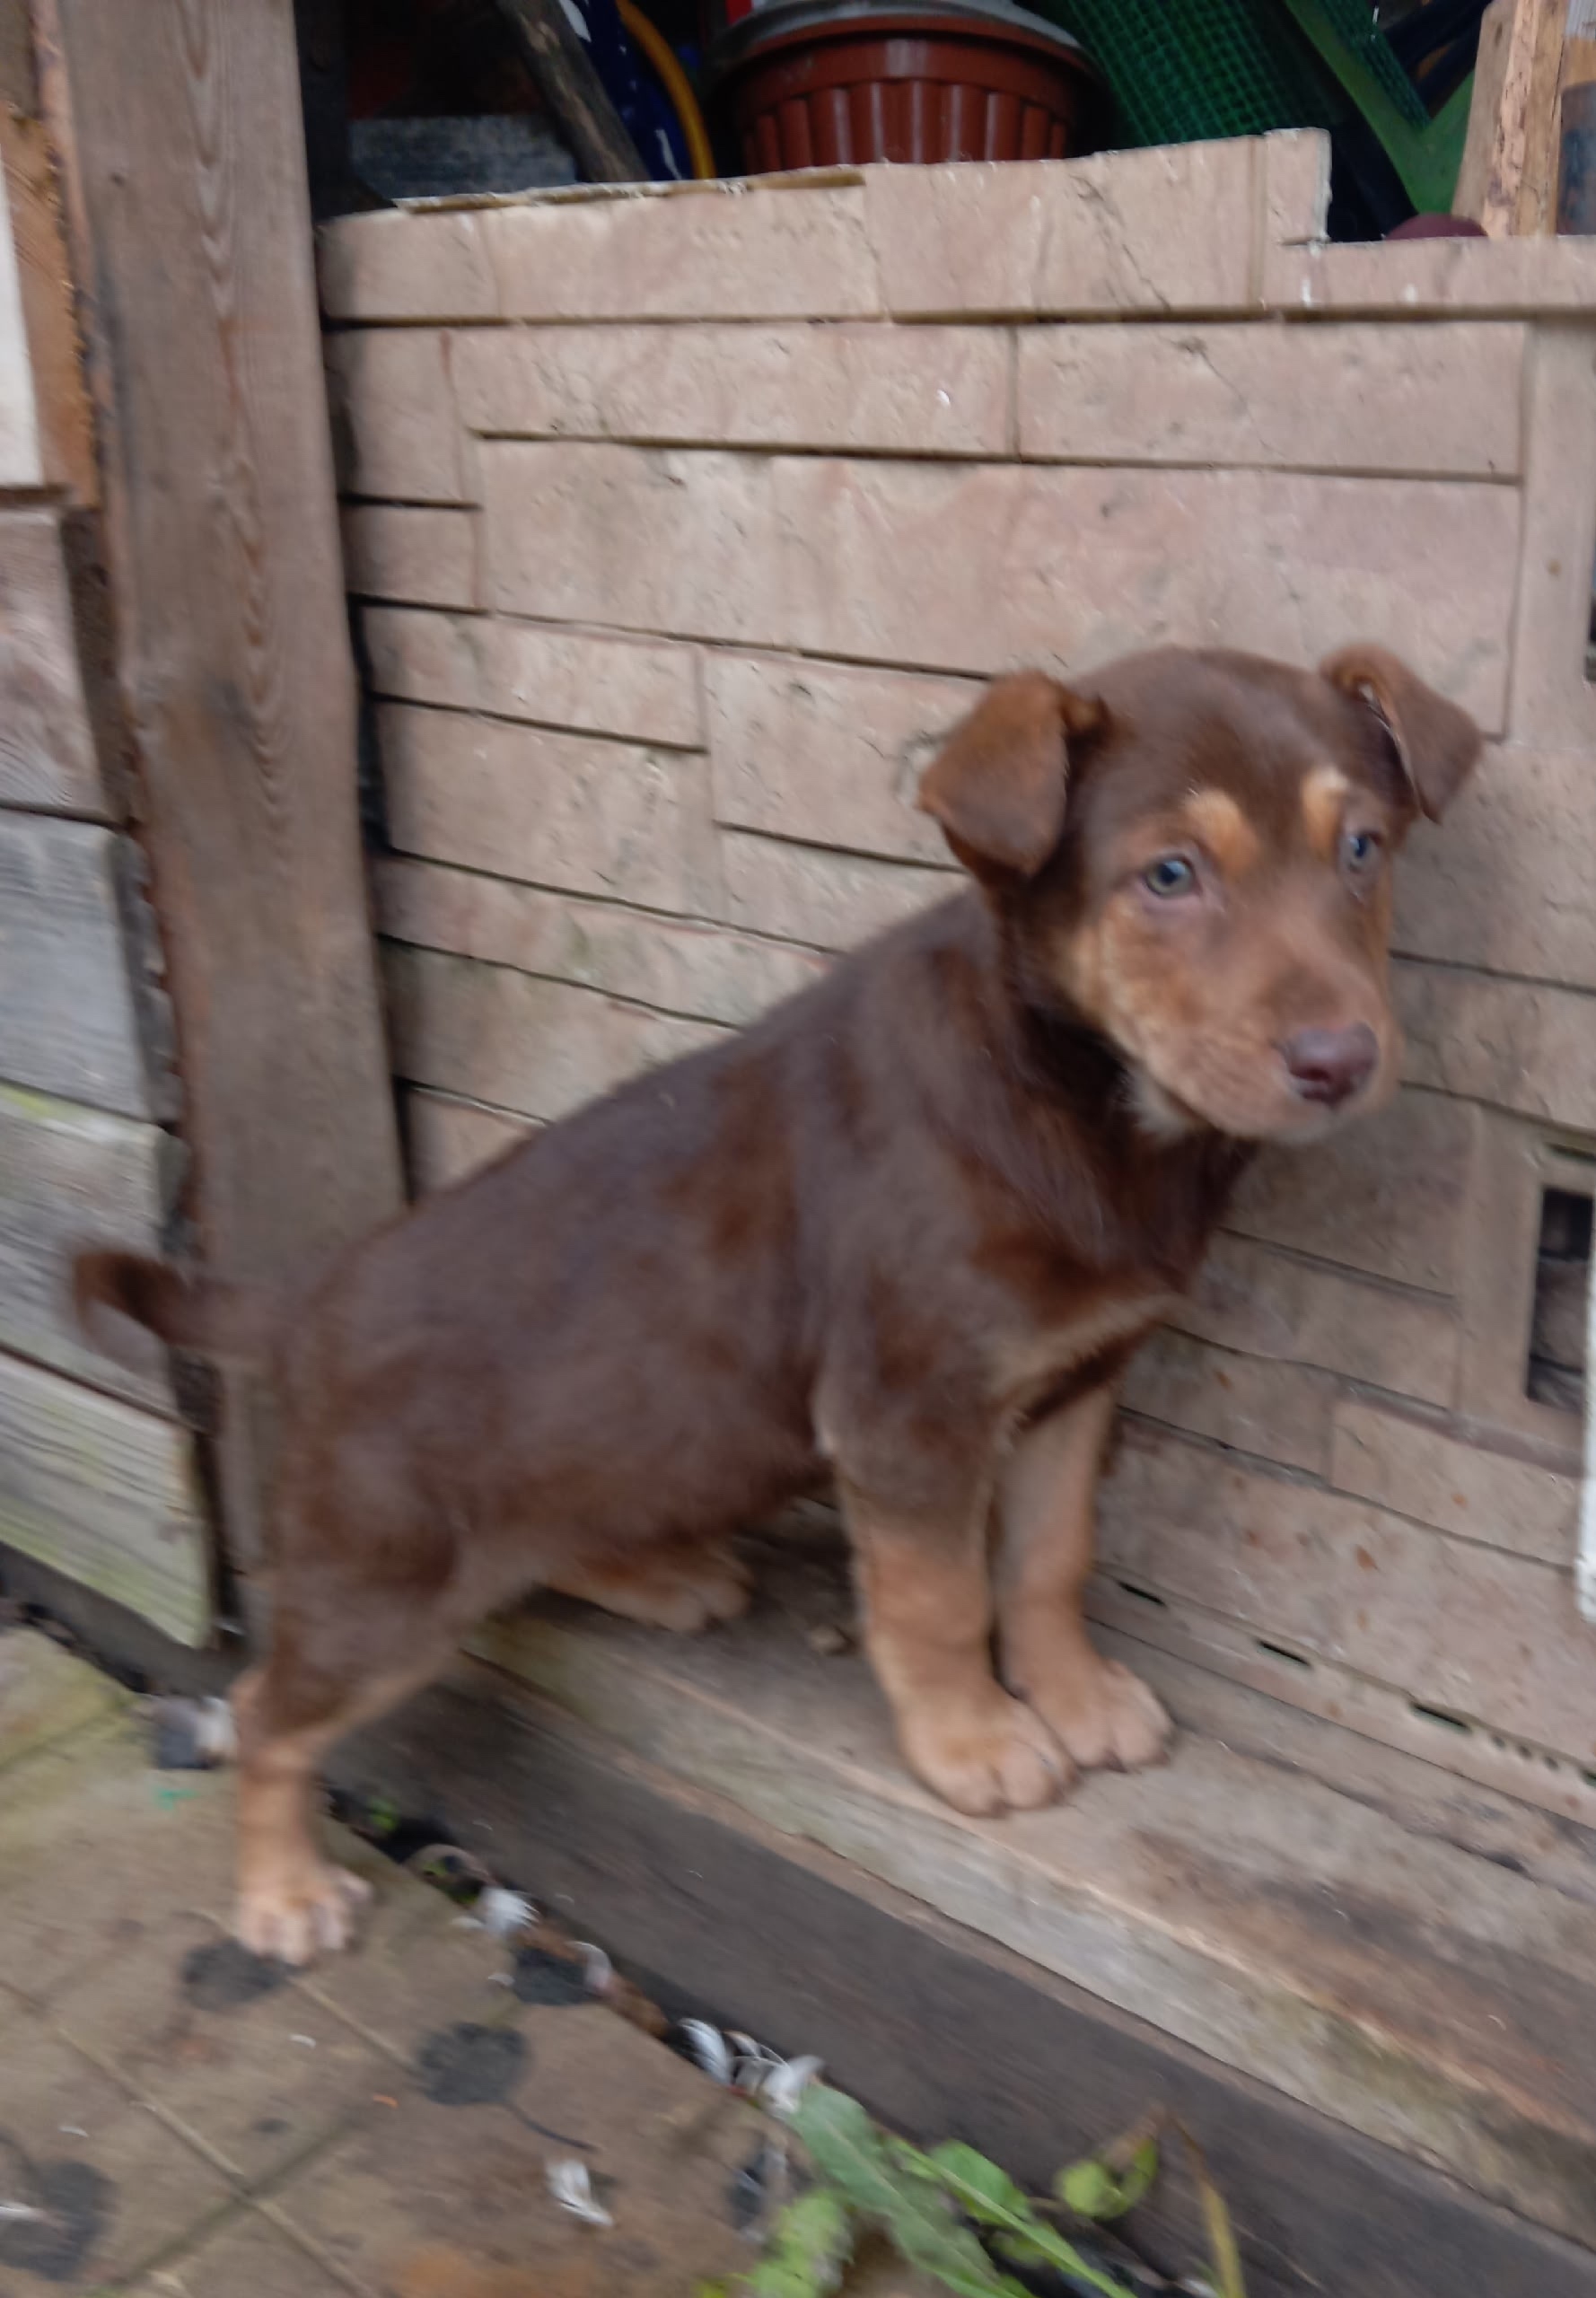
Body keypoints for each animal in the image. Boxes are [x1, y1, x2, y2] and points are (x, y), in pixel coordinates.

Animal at [77, 642, 1479, 1964]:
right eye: (1170, 876)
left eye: (1360, 848)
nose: (1340, 1062)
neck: (1080, 1092)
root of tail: (304, 1304)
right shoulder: (905, 1412)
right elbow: (938, 1600)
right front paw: (976, 1740)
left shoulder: (1075, 1380)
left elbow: (1046, 1559)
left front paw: (1073, 1696)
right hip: (380, 1577)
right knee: (264, 1711)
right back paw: (282, 1893)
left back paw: (659, 1577)